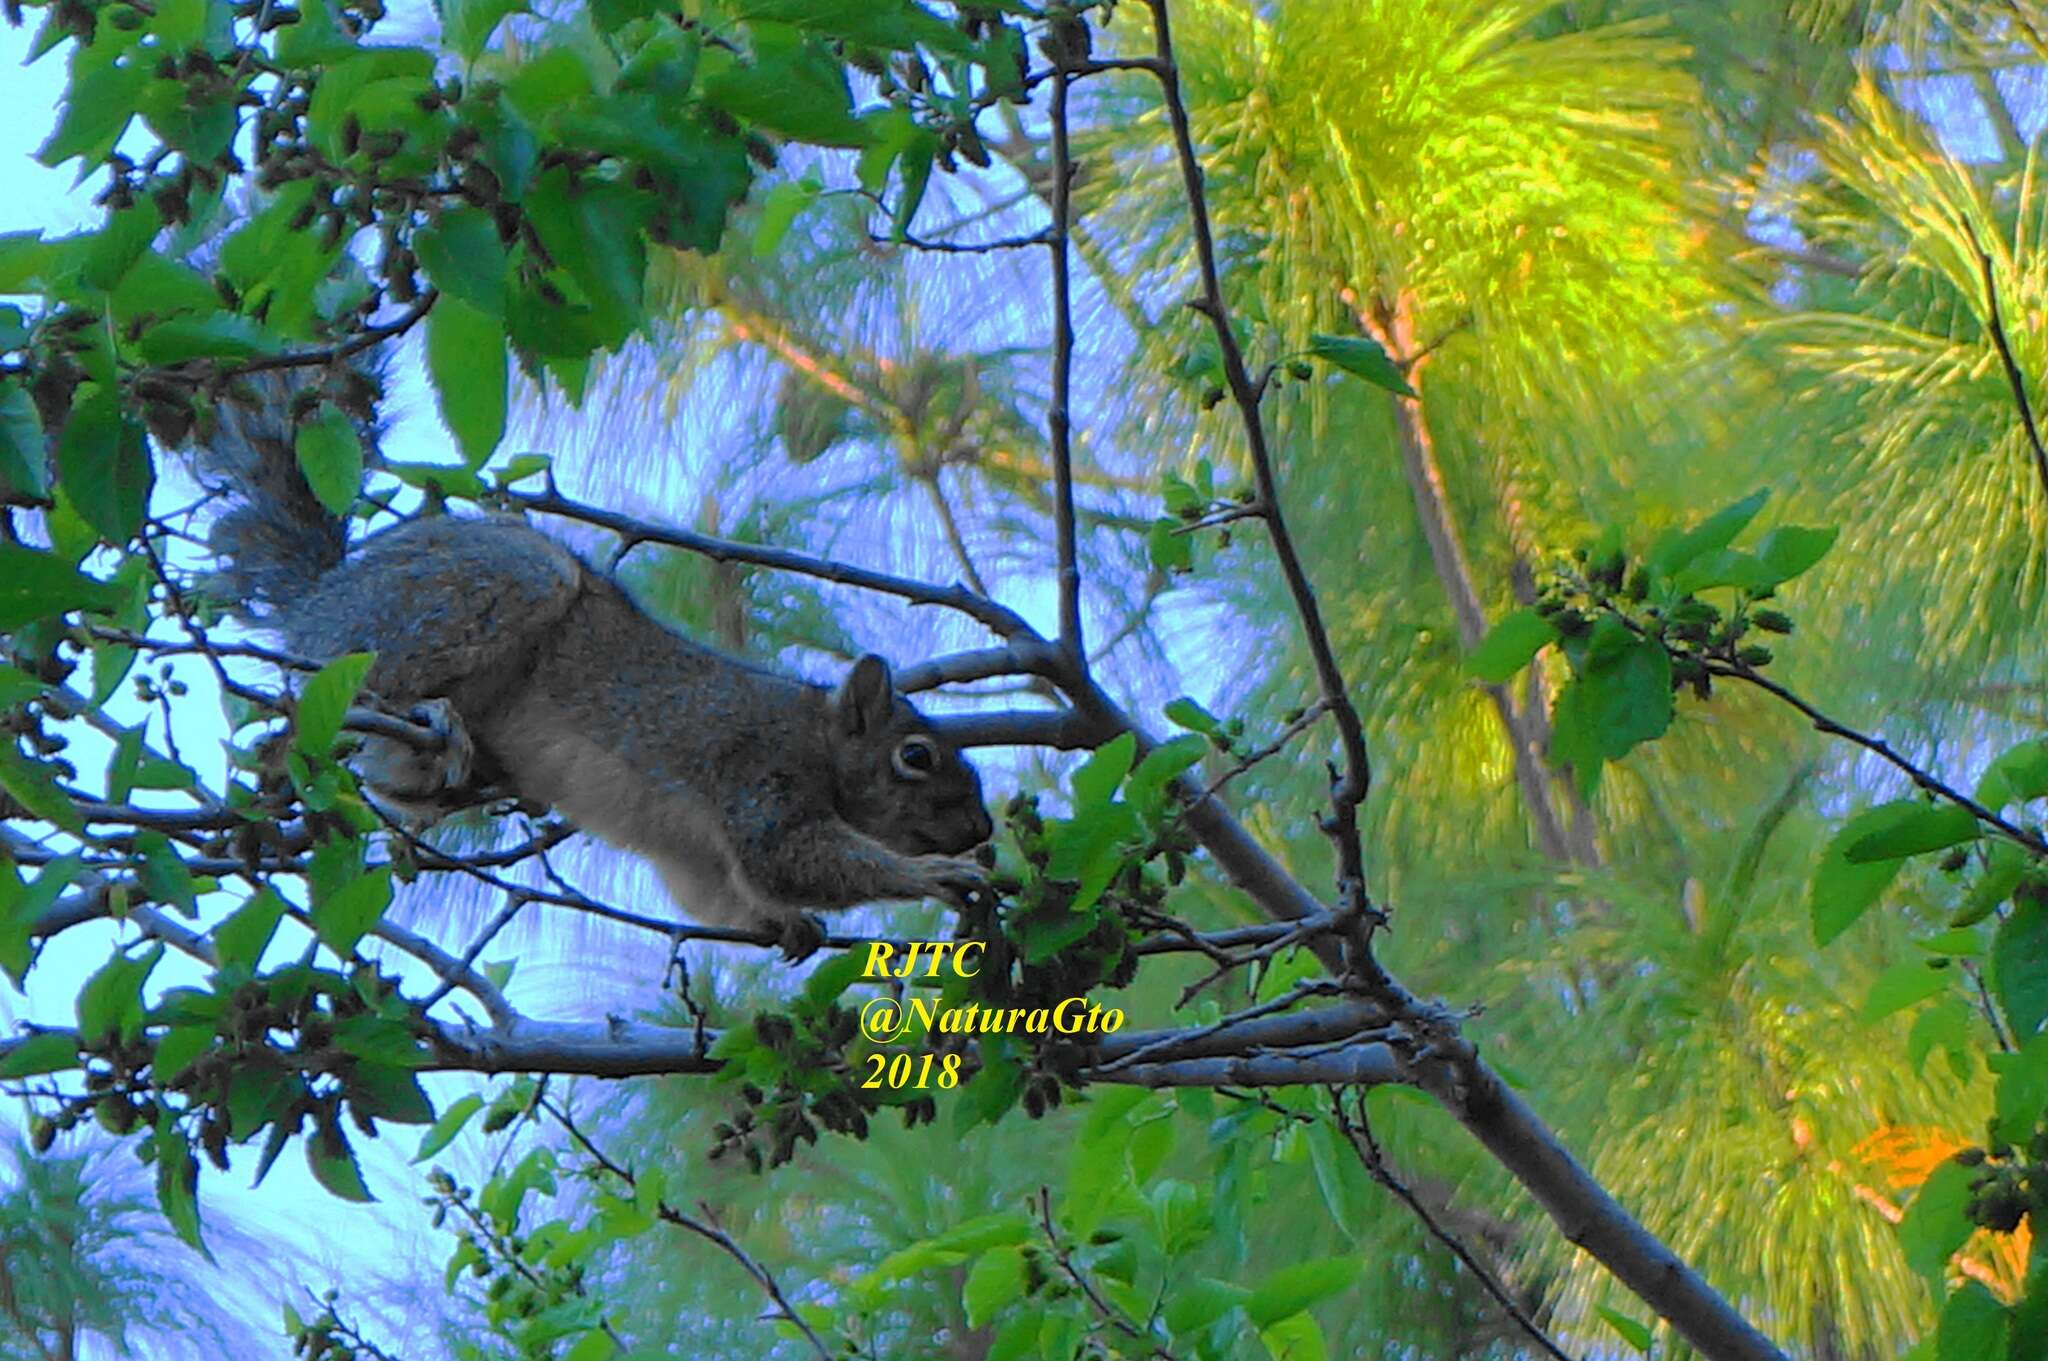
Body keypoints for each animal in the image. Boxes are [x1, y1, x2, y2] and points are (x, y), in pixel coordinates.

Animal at [195, 374, 995, 953]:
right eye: (916, 756)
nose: (983, 828)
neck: (817, 738)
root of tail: (319, 600)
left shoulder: (694, 858)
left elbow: (720, 894)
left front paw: (788, 926)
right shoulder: (757, 769)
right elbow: (789, 857)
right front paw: (932, 873)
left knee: (392, 779)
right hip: (479, 595)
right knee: (371, 686)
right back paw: (425, 712)